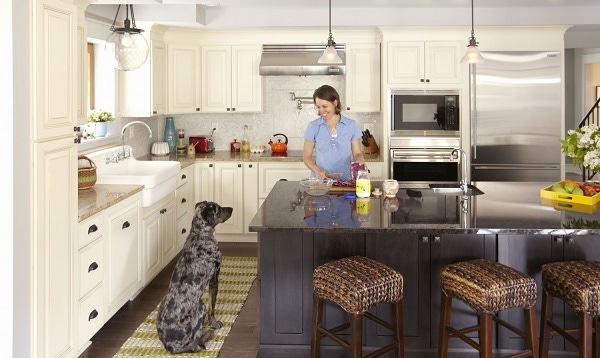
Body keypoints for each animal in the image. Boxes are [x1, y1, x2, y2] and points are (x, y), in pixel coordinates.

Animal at [156, 200, 233, 354]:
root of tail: (170, 346)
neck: (200, 234)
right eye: (219, 209)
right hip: (200, 305)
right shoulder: (214, 279)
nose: (232, 208)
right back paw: (209, 333)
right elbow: (212, 308)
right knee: (196, 343)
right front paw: (215, 324)